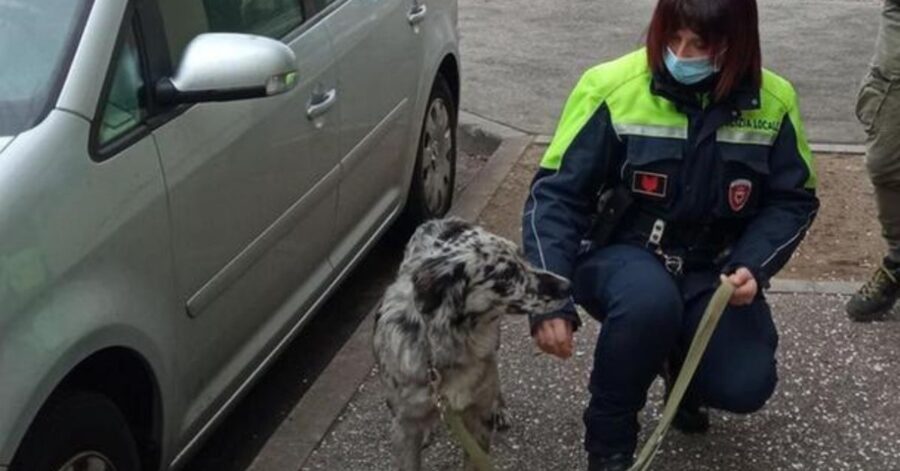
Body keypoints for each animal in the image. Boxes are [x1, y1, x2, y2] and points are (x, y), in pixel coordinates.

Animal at [372, 218, 568, 471]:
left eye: (523, 256)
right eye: (506, 274)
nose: (567, 285)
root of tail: (438, 220)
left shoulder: (477, 417)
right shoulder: (404, 428)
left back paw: (500, 409)